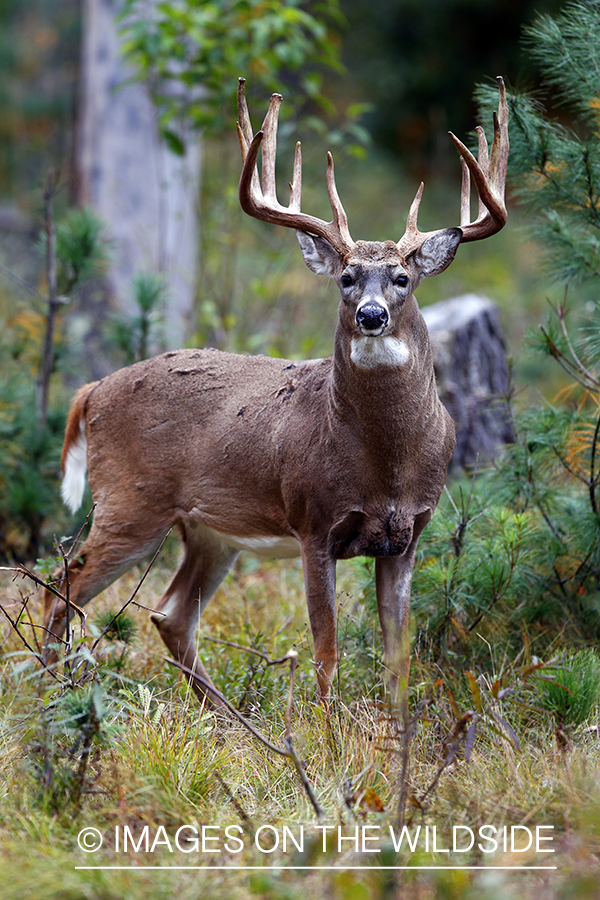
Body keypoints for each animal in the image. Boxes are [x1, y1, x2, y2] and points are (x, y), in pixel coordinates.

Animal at [42, 77, 508, 712]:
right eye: (346, 278)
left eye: (403, 279)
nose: (371, 315)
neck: (386, 460)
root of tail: (91, 390)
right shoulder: (314, 520)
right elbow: (326, 653)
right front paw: (327, 726)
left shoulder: (409, 533)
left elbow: (398, 658)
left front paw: (395, 729)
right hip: (129, 501)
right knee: (60, 586)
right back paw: (46, 693)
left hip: (210, 530)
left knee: (169, 612)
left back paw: (226, 714)